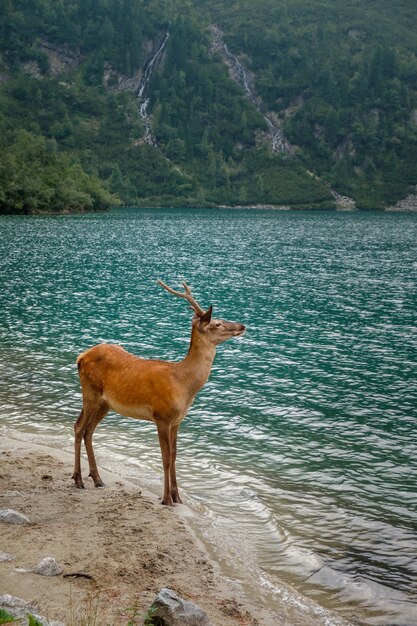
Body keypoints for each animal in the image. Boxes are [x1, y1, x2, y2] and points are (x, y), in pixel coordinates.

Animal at [72, 280, 245, 504]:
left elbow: (174, 455)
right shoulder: (161, 416)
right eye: (217, 323)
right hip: (90, 392)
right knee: (78, 427)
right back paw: (78, 479)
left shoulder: (177, 420)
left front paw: (177, 497)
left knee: (89, 430)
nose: (242, 326)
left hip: (105, 403)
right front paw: (166, 499)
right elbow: (165, 458)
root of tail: (81, 357)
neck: (184, 385)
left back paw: (97, 479)